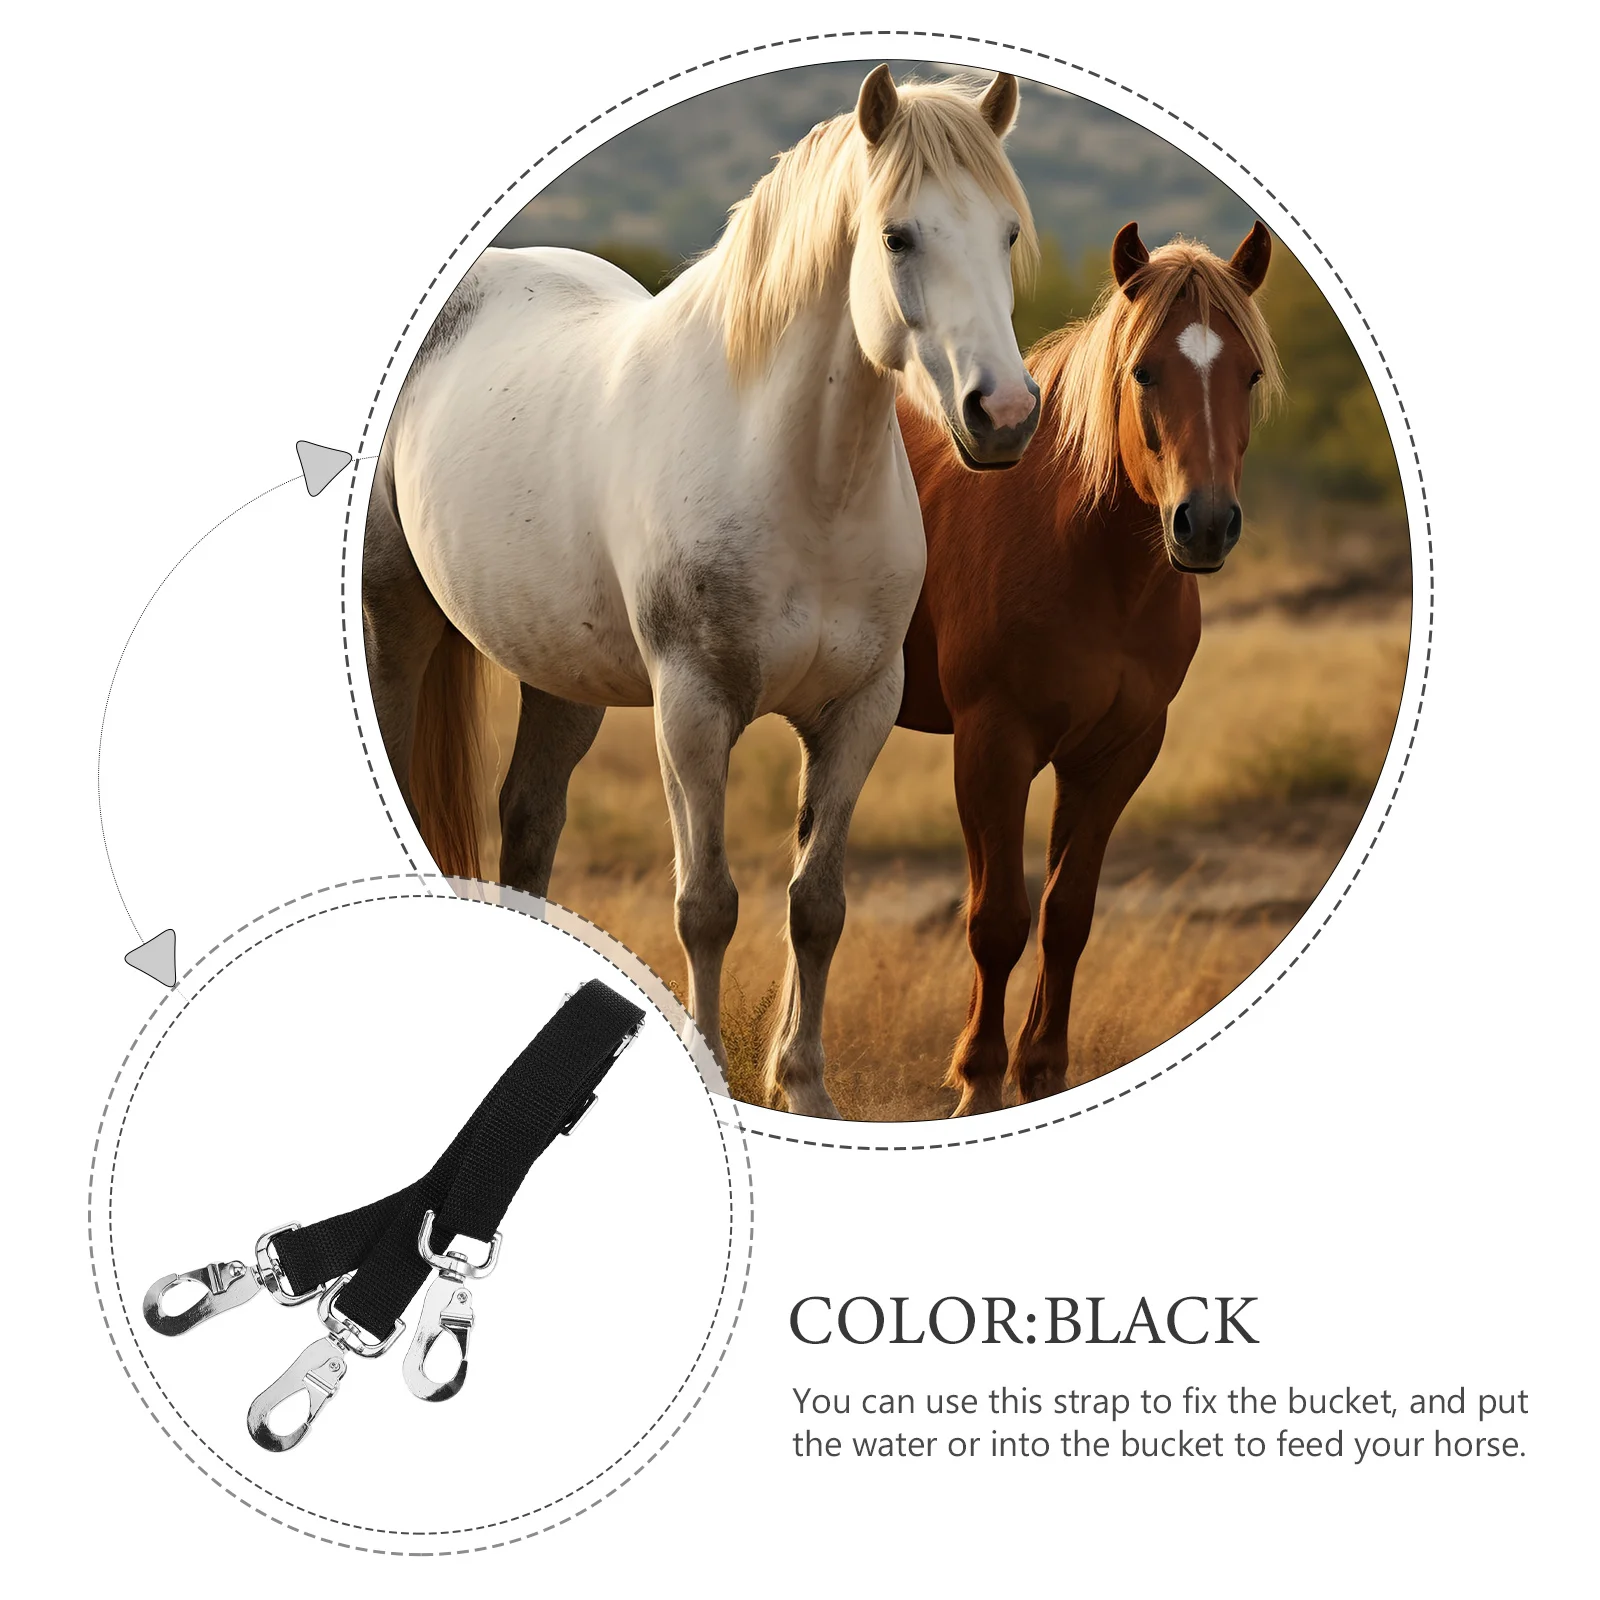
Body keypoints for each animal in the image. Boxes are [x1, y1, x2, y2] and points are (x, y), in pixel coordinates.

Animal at [363, 65, 1042, 1119]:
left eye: (1007, 232)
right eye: (898, 236)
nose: (1003, 415)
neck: (800, 476)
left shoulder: (860, 710)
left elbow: (817, 905)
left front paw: (805, 1090)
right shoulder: (693, 708)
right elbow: (707, 905)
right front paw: (720, 1073)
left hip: (560, 677)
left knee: (529, 826)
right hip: (397, 623)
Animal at [896, 221, 1284, 1116]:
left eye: (1248, 374)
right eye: (1145, 371)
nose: (1205, 525)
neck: (1084, 555)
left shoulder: (1116, 752)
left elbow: (1067, 911)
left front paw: (1041, 1070)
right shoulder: (993, 746)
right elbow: (997, 918)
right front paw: (978, 1080)